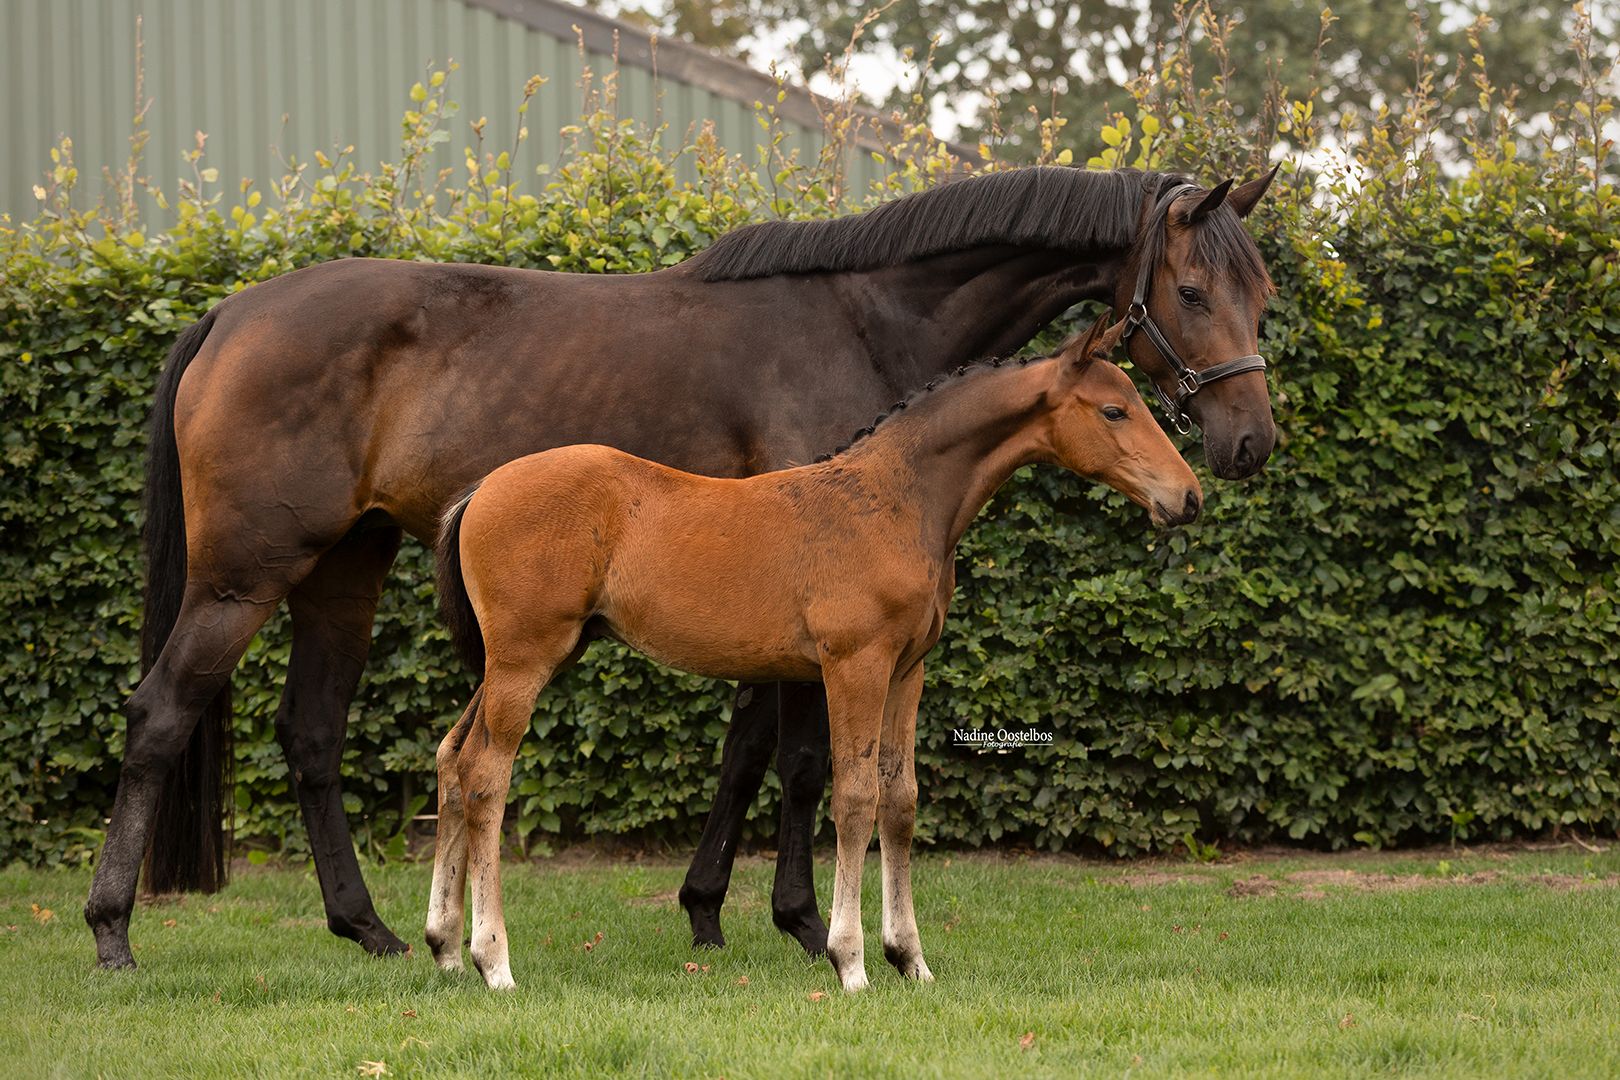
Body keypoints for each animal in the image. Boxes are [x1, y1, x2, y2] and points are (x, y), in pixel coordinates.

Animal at [429, 315, 1200, 991]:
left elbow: (900, 799)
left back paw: (444, 948)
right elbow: (855, 797)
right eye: (1114, 410)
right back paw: (493, 961)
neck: (893, 501)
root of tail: (481, 488)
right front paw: (849, 960)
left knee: (453, 758)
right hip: (526, 659)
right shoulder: (853, 664)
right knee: (488, 776)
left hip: (524, 660)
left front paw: (911, 960)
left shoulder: (907, 670)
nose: (1187, 498)